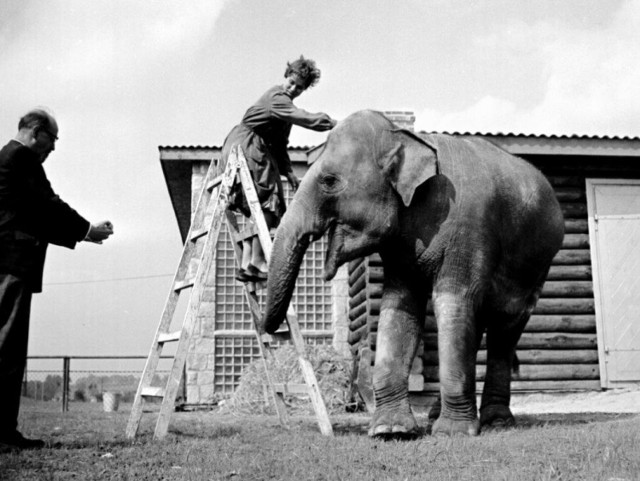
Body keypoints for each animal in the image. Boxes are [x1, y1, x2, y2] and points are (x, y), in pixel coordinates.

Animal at [258, 110, 564, 436]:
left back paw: (496, 421)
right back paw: (438, 415)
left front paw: (453, 432)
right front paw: (391, 431)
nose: (271, 332)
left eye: (329, 180)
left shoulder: (469, 230)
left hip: (536, 265)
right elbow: (400, 307)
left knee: (505, 326)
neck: (406, 139)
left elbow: (452, 302)